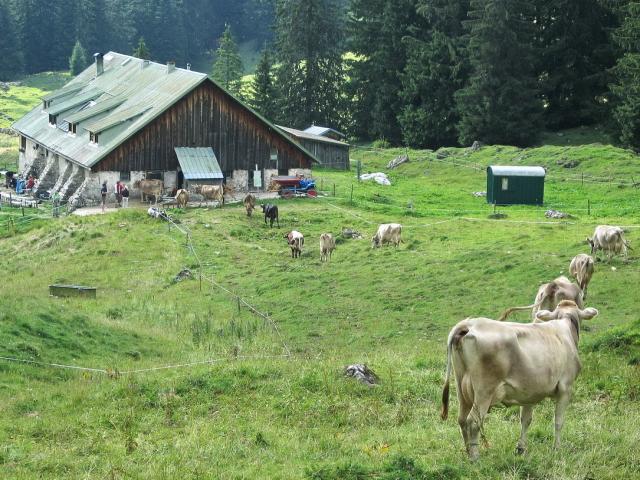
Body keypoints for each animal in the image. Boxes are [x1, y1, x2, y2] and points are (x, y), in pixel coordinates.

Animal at [441, 300, 599, 460]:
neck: (565, 325)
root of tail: (469, 324)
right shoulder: (565, 388)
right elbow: (558, 421)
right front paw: (557, 449)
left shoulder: (530, 392)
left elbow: (525, 420)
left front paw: (521, 448)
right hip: (484, 391)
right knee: (473, 422)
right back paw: (475, 457)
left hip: (461, 387)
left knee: (461, 419)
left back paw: (468, 451)